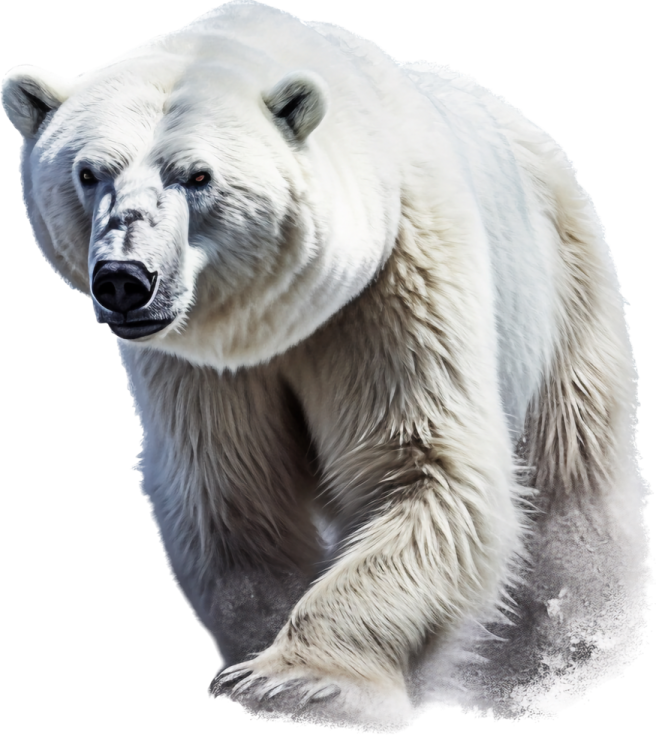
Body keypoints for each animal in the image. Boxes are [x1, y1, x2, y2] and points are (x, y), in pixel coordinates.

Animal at [1, 1, 648, 730]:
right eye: (89, 173)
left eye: (197, 176)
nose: (124, 279)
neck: (282, 321)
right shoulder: (201, 361)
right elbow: (231, 490)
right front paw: (253, 657)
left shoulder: (395, 281)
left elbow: (423, 467)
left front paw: (302, 681)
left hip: (564, 284)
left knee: (573, 487)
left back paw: (557, 654)